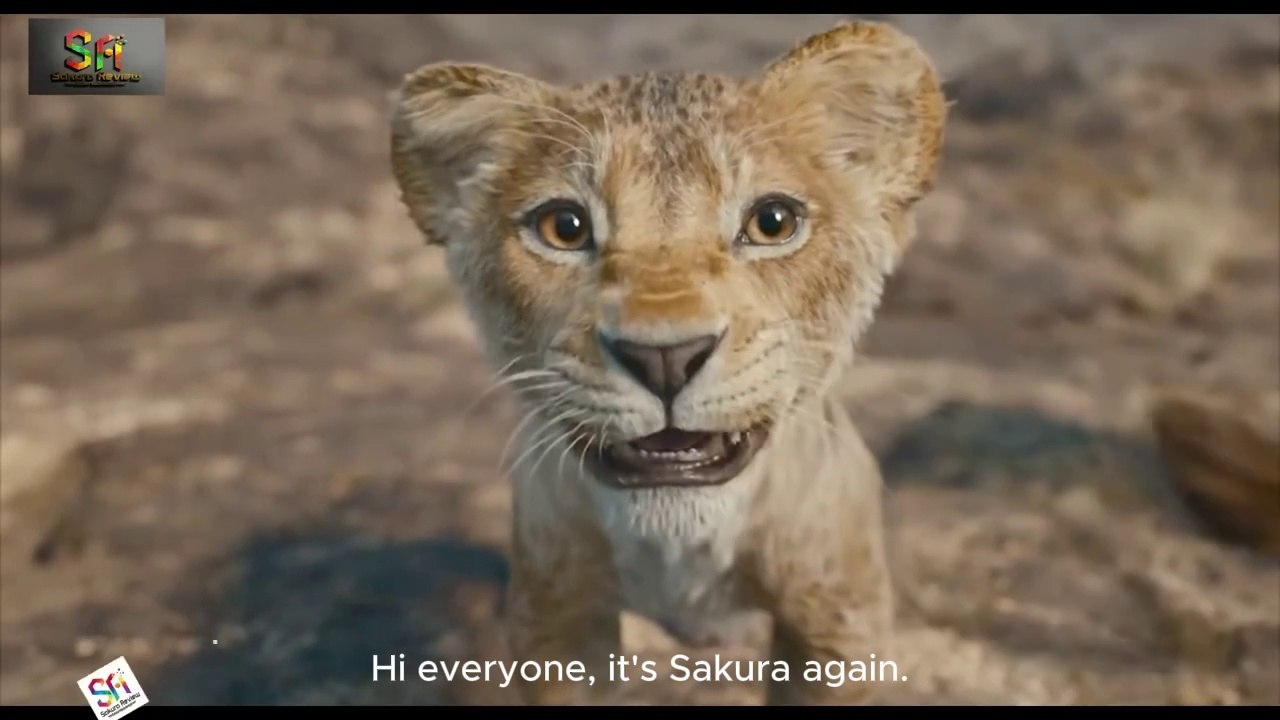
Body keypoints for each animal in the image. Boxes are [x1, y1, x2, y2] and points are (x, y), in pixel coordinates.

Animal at [389, 20, 947, 705]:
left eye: (773, 222)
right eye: (564, 227)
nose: (664, 358)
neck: (678, 547)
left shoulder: (840, 618)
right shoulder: (555, 613)